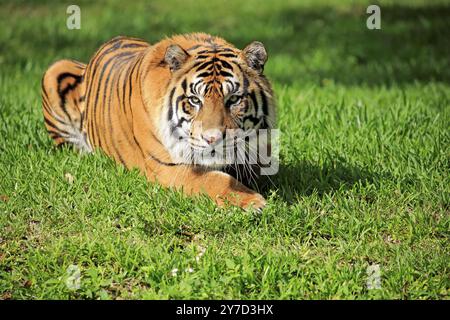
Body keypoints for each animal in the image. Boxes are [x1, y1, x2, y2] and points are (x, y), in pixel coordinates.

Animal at [41, 33, 274, 210]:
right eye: (195, 100)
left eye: (233, 99)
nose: (212, 139)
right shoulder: (169, 167)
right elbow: (217, 179)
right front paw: (252, 201)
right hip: (54, 70)